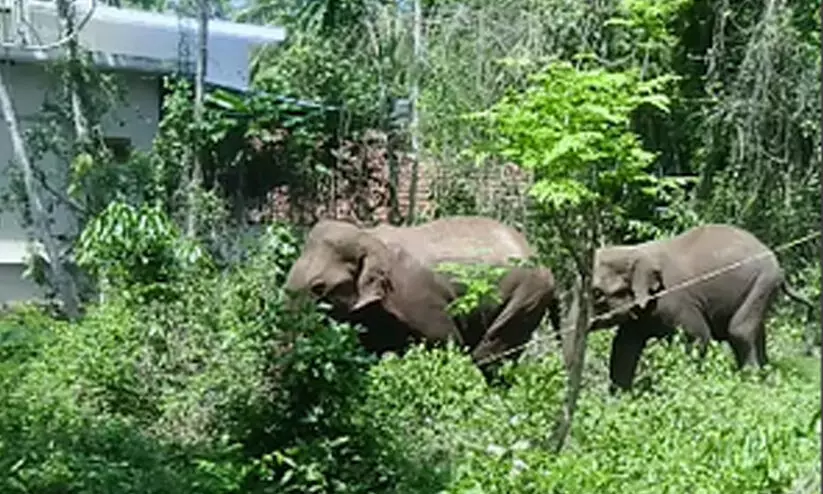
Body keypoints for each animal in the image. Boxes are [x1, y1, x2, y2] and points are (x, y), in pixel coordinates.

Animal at [283, 216, 562, 374]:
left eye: (318, 288)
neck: (369, 236)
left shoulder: (417, 298)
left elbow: (446, 342)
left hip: (525, 297)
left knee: (489, 357)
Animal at [589, 223, 816, 392]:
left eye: (597, 293)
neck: (634, 251)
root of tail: (777, 263)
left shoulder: (675, 300)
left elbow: (699, 336)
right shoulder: (641, 315)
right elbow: (623, 346)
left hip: (763, 284)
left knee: (739, 331)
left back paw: (750, 382)